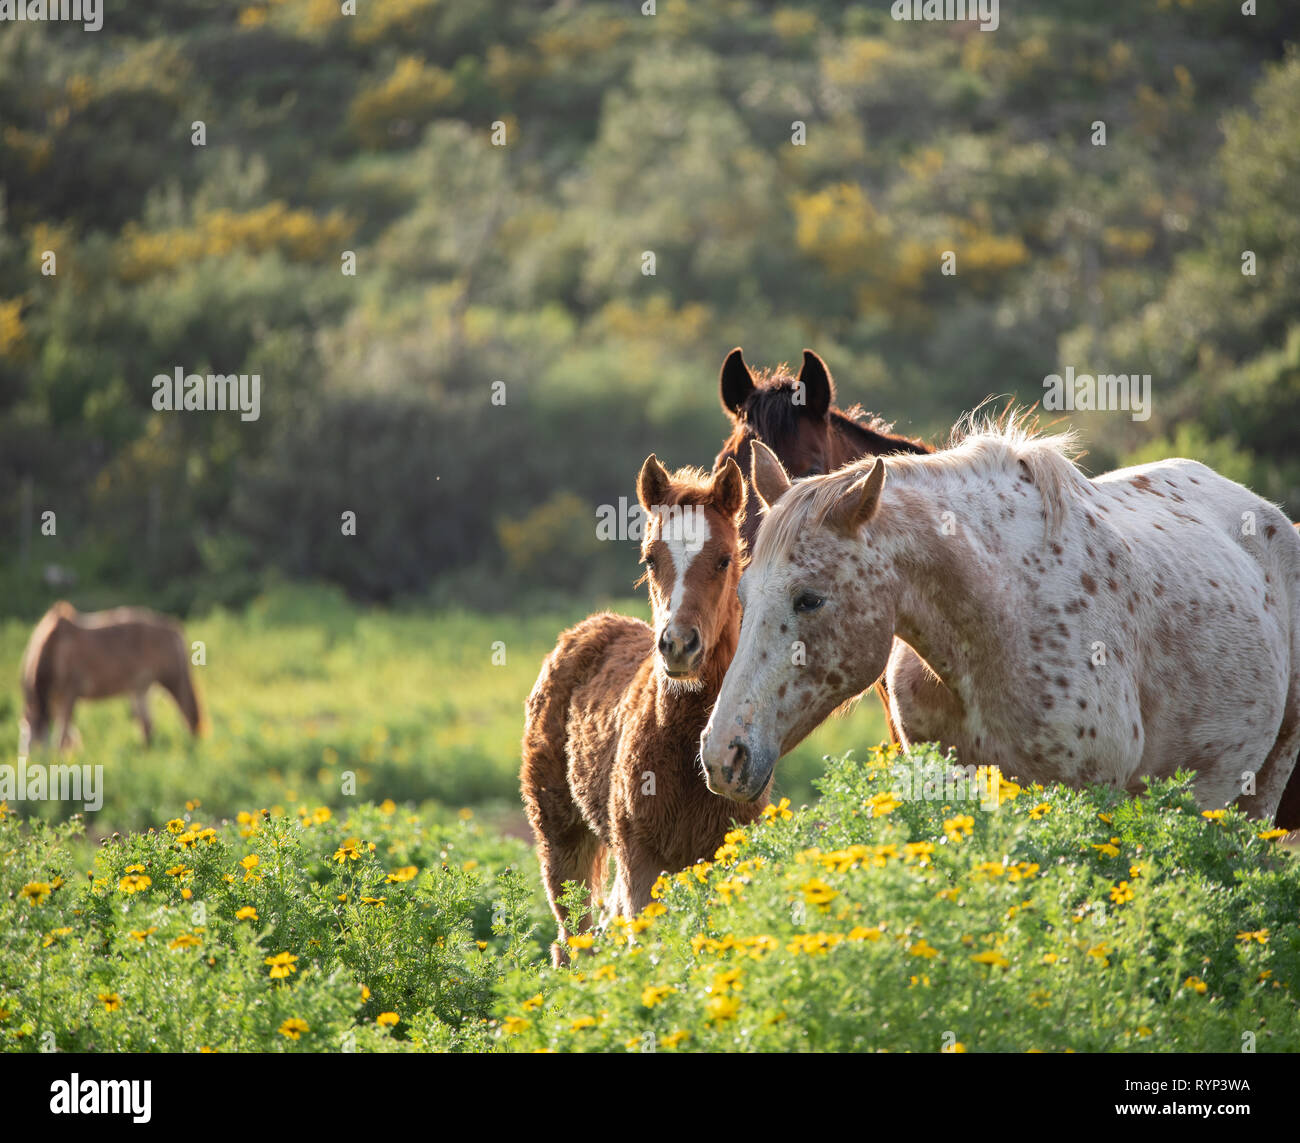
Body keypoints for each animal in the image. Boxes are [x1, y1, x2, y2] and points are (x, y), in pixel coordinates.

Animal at [20, 602, 203, 753]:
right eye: (23, 749)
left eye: (35, 748)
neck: (53, 646)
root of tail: (172, 626)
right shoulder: (57, 699)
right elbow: (68, 736)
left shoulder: (70, 693)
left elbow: (61, 738)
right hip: (140, 687)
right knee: (147, 725)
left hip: (173, 680)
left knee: (188, 715)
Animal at [521, 455, 768, 966]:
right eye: (650, 559)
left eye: (724, 560)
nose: (678, 645)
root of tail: (586, 628)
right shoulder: (642, 861)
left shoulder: (725, 853)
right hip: (561, 836)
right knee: (571, 939)